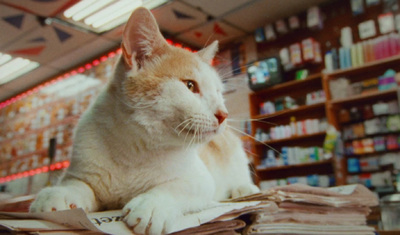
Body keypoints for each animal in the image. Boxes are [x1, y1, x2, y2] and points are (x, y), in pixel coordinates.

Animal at [28, 6, 260, 234]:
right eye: (190, 85)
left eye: (219, 93)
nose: (223, 114)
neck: (136, 148)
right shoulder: (81, 170)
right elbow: (78, 184)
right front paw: (59, 194)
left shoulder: (201, 179)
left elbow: (177, 186)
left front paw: (153, 205)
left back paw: (244, 188)